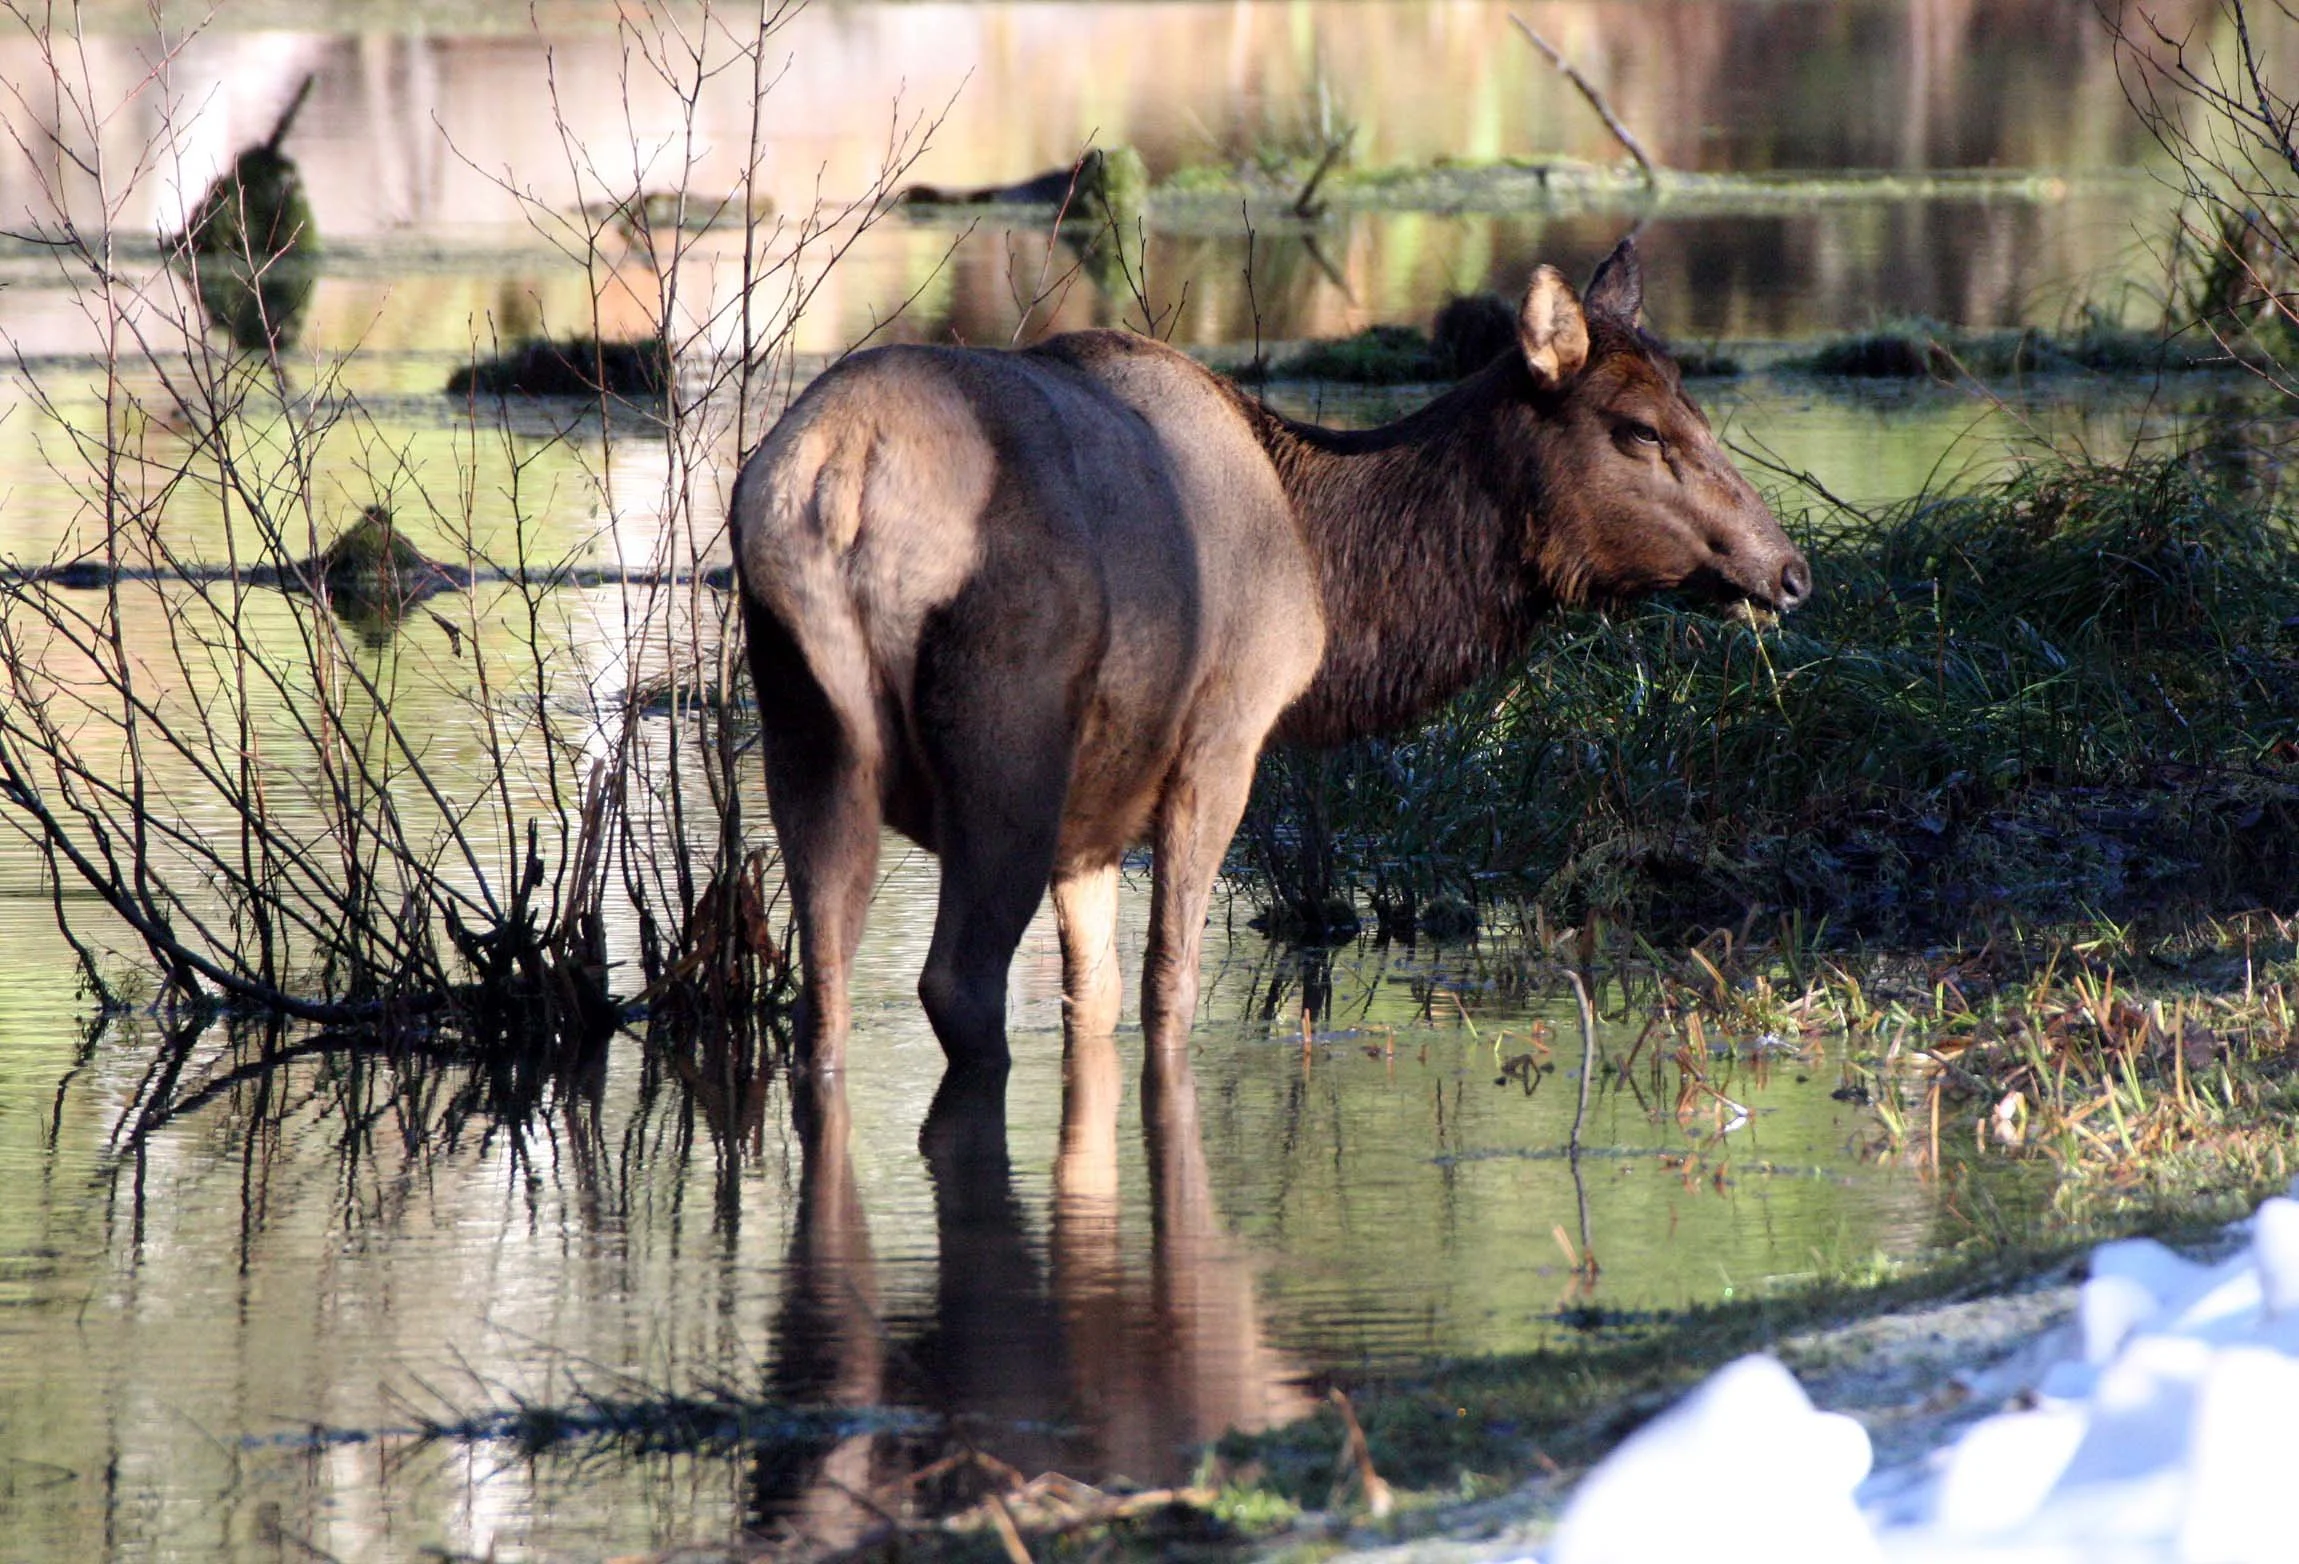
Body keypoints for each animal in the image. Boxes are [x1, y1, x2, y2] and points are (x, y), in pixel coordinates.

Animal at [729, 238, 1809, 1077]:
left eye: (1695, 411)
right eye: (1640, 429)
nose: (1788, 569)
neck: (1329, 576)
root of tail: (836, 474)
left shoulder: (1096, 814)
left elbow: (1094, 994)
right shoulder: (1224, 730)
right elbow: (1167, 984)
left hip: (801, 723)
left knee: (822, 984)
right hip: (1007, 726)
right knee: (956, 979)